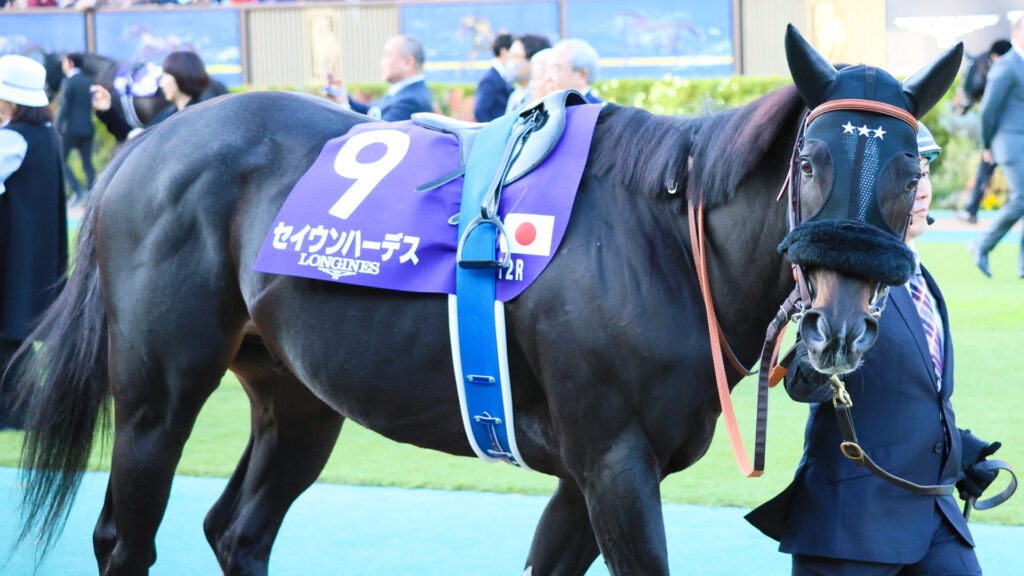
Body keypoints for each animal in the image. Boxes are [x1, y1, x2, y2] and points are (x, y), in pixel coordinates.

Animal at [11, 27, 961, 575]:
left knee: (236, 530)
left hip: (298, 396)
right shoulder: (612, 460)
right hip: (157, 396)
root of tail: (146, 142)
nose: (840, 328)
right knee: (125, 539)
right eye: (810, 161)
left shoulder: (590, 474)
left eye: (912, 169)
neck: (660, 238)